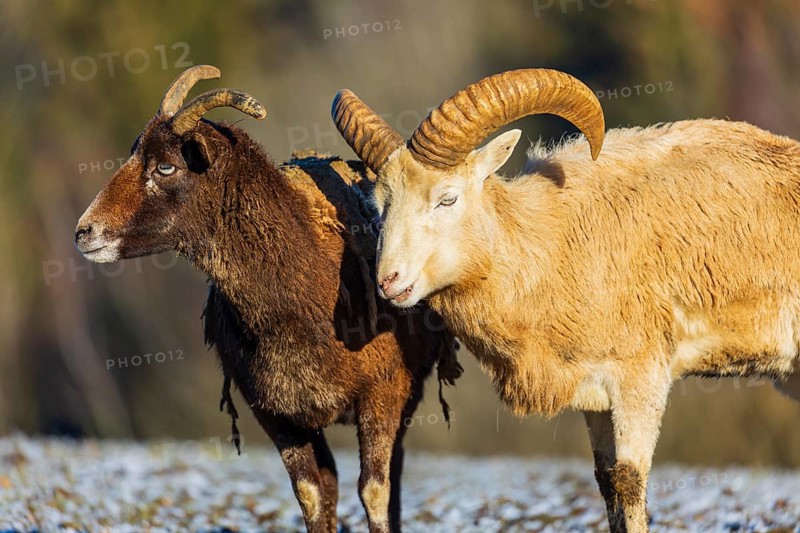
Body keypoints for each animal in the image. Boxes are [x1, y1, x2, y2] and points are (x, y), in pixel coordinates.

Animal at [75, 65, 462, 533]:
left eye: (166, 166)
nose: (84, 232)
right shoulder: (275, 412)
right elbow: (312, 495)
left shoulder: (384, 392)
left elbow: (374, 492)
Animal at [332, 68, 800, 533]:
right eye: (379, 204)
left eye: (447, 198)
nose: (389, 281)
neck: (554, 239)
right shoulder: (596, 394)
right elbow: (606, 481)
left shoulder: (640, 377)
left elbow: (629, 478)